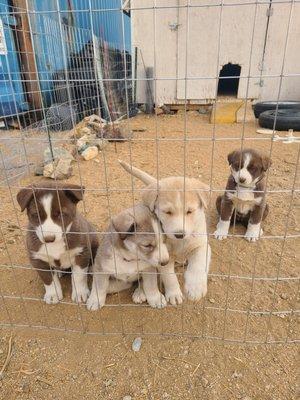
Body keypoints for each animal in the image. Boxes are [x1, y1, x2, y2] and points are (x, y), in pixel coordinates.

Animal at [118, 159, 211, 300]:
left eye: (189, 211)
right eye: (167, 212)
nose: (180, 234)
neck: (179, 242)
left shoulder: (201, 245)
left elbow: (198, 263)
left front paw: (195, 288)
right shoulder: (164, 256)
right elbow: (169, 276)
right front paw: (174, 294)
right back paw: (140, 292)